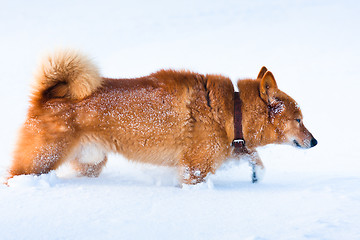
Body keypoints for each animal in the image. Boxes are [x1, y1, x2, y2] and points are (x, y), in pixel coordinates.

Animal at [7, 50, 316, 185]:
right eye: (299, 120)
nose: (314, 142)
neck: (233, 112)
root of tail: (46, 97)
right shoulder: (194, 169)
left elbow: (254, 159)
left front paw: (256, 175)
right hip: (40, 161)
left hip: (90, 162)